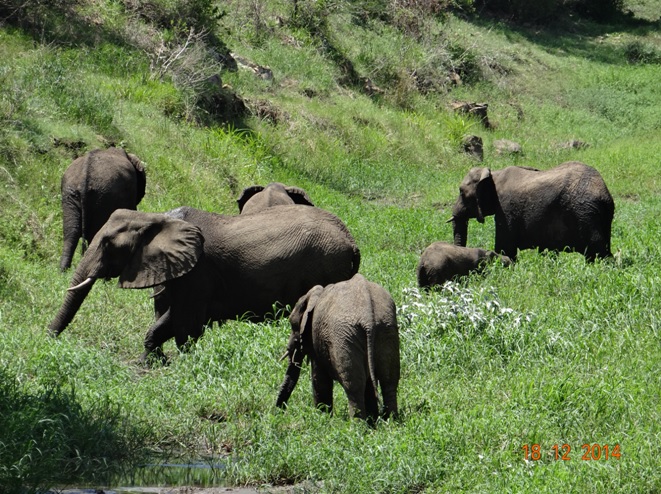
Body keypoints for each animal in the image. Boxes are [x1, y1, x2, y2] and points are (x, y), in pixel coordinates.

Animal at [49, 203, 360, 360]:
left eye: (107, 245)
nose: (48, 338)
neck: (156, 219)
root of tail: (352, 243)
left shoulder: (198, 272)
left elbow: (186, 323)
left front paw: (181, 361)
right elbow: (168, 320)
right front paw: (154, 361)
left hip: (327, 268)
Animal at [276, 274, 400, 420]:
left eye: (292, 324)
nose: (277, 412)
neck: (315, 294)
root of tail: (368, 318)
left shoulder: (315, 335)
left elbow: (319, 379)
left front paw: (322, 419)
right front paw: (373, 419)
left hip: (344, 337)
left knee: (354, 385)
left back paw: (357, 424)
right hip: (386, 328)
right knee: (389, 379)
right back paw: (391, 421)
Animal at [448, 162, 612, 262]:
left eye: (461, 192)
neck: (494, 174)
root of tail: (603, 192)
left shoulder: (505, 209)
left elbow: (505, 247)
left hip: (584, 212)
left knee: (596, 247)